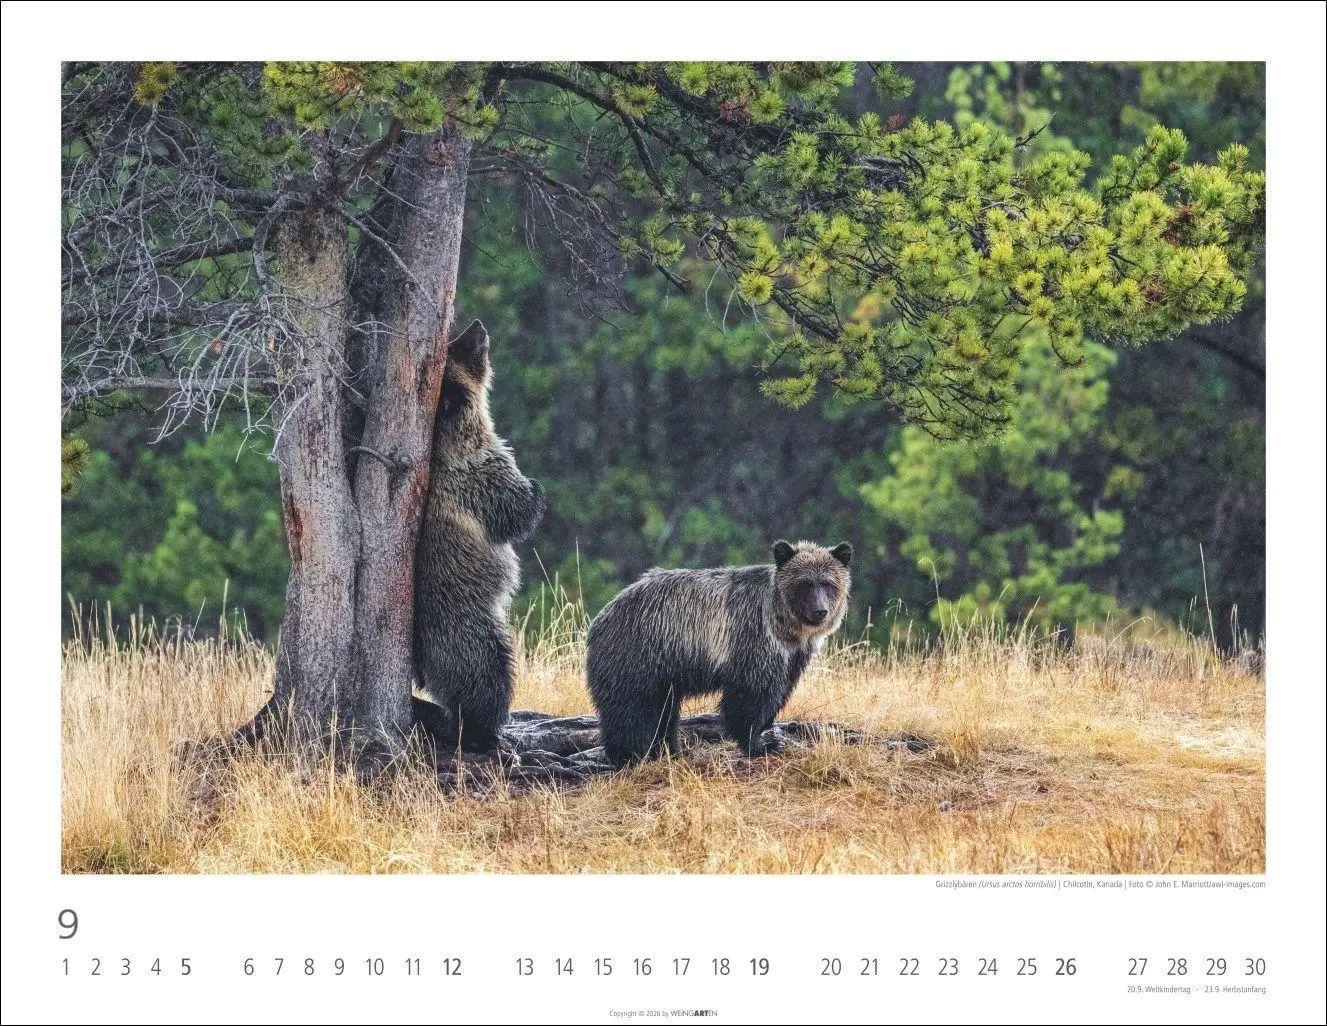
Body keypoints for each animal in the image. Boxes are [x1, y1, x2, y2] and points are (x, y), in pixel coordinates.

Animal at [412, 319, 546, 751]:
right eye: (460, 348)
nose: (477, 325)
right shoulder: (478, 479)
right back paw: (487, 729)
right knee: (489, 670)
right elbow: (513, 511)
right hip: (468, 628)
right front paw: (535, 489)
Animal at [586, 539, 853, 766]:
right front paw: (758, 744)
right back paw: (630, 755)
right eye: (805, 583)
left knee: (663, 710)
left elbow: (781, 691)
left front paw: (768, 730)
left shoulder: (793, 656)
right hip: (639, 654)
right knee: (631, 707)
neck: (784, 627)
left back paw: (668, 748)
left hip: (663, 671)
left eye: (828, 584)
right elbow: (750, 697)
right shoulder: (752, 640)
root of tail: (602, 615)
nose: (820, 611)